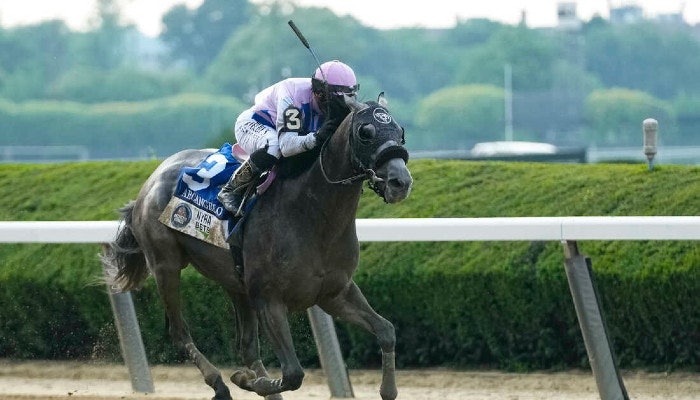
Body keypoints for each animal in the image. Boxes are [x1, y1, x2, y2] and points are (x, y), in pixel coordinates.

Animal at [101, 94, 412, 400]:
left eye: (400, 131)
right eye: (365, 132)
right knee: (180, 332)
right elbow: (293, 373)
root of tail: (150, 182)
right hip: (166, 266)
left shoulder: (334, 293)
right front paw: (245, 379)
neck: (311, 215)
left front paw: (388, 389)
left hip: (235, 283)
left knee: (247, 347)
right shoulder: (269, 299)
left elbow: (387, 331)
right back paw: (219, 384)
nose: (401, 182)